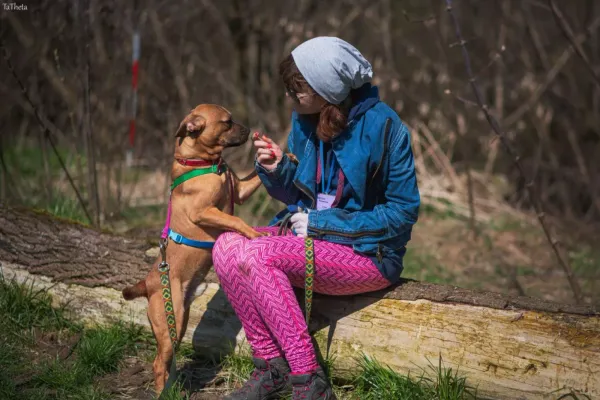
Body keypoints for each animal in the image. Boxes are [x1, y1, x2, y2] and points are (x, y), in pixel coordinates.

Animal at [120, 104, 264, 394]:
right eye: (227, 122)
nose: (248, 129)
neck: (204, 163)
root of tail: (148, 284)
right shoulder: (204, 212)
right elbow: (236, 221)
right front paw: (254, 233)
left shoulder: (241, 191)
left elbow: (255, 177)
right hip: (169, 322)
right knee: (157, 363)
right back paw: (163, 393)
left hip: (178, 323)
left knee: (165, 360)